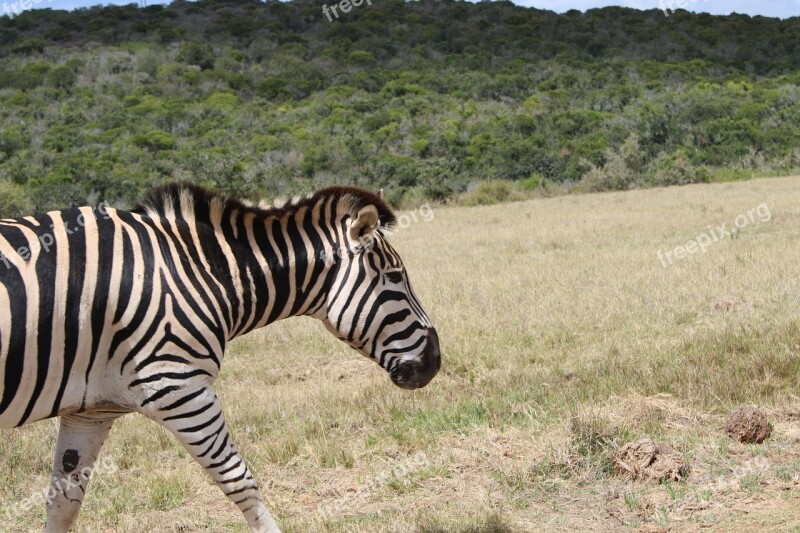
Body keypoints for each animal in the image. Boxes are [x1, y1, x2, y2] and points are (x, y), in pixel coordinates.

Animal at [0, 182, 440, 528]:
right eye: (395, 278)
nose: (435, 362)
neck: (198, 272)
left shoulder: (91, 410)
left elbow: (63, 503)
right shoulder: (179, 387)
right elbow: (240, 481)